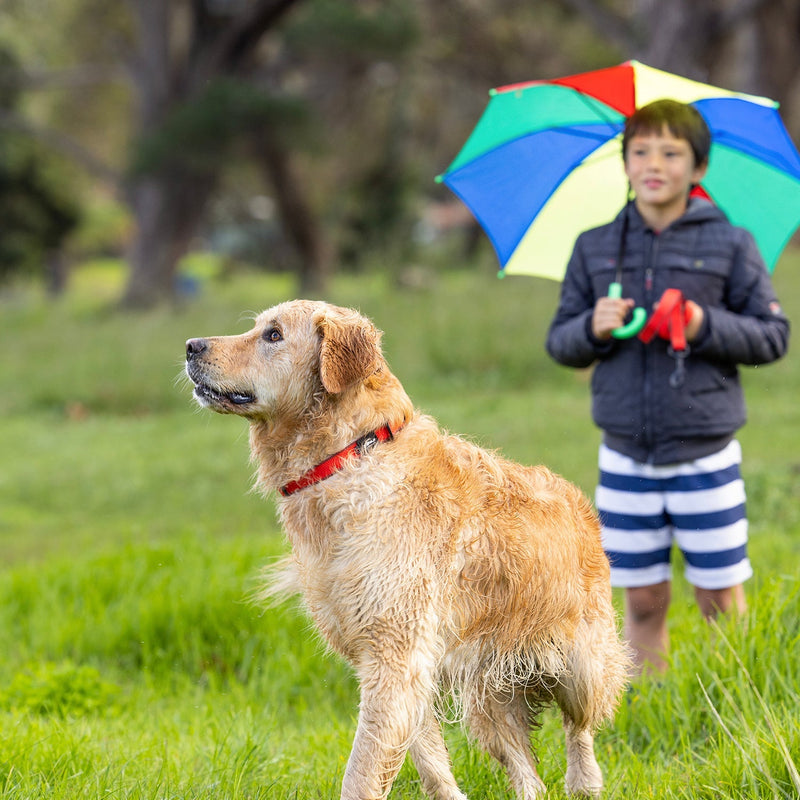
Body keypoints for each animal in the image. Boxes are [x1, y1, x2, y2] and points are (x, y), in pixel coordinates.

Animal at [186, 302, 632, 800]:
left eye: (274, 335)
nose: (190, 346)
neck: (347, 459)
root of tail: (582, 505)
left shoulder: (394, 656)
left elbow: (362, 771)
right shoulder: (392, 662)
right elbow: (430, 761)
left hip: (580, 667)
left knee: (581, 728)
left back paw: (585, 782)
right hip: (489, 698)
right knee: (527, 771)